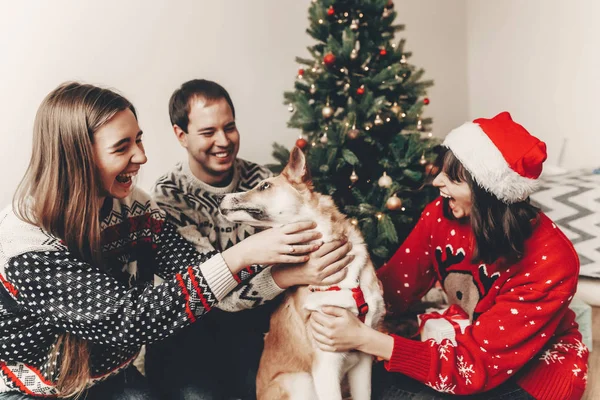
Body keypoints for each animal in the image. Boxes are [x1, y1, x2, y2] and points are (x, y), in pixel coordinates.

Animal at [220, 147, 384, 400]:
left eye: (264, 186)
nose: (222, 198)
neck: (345, 279)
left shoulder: (363, 356)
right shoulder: (326, 366)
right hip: (299, 382)